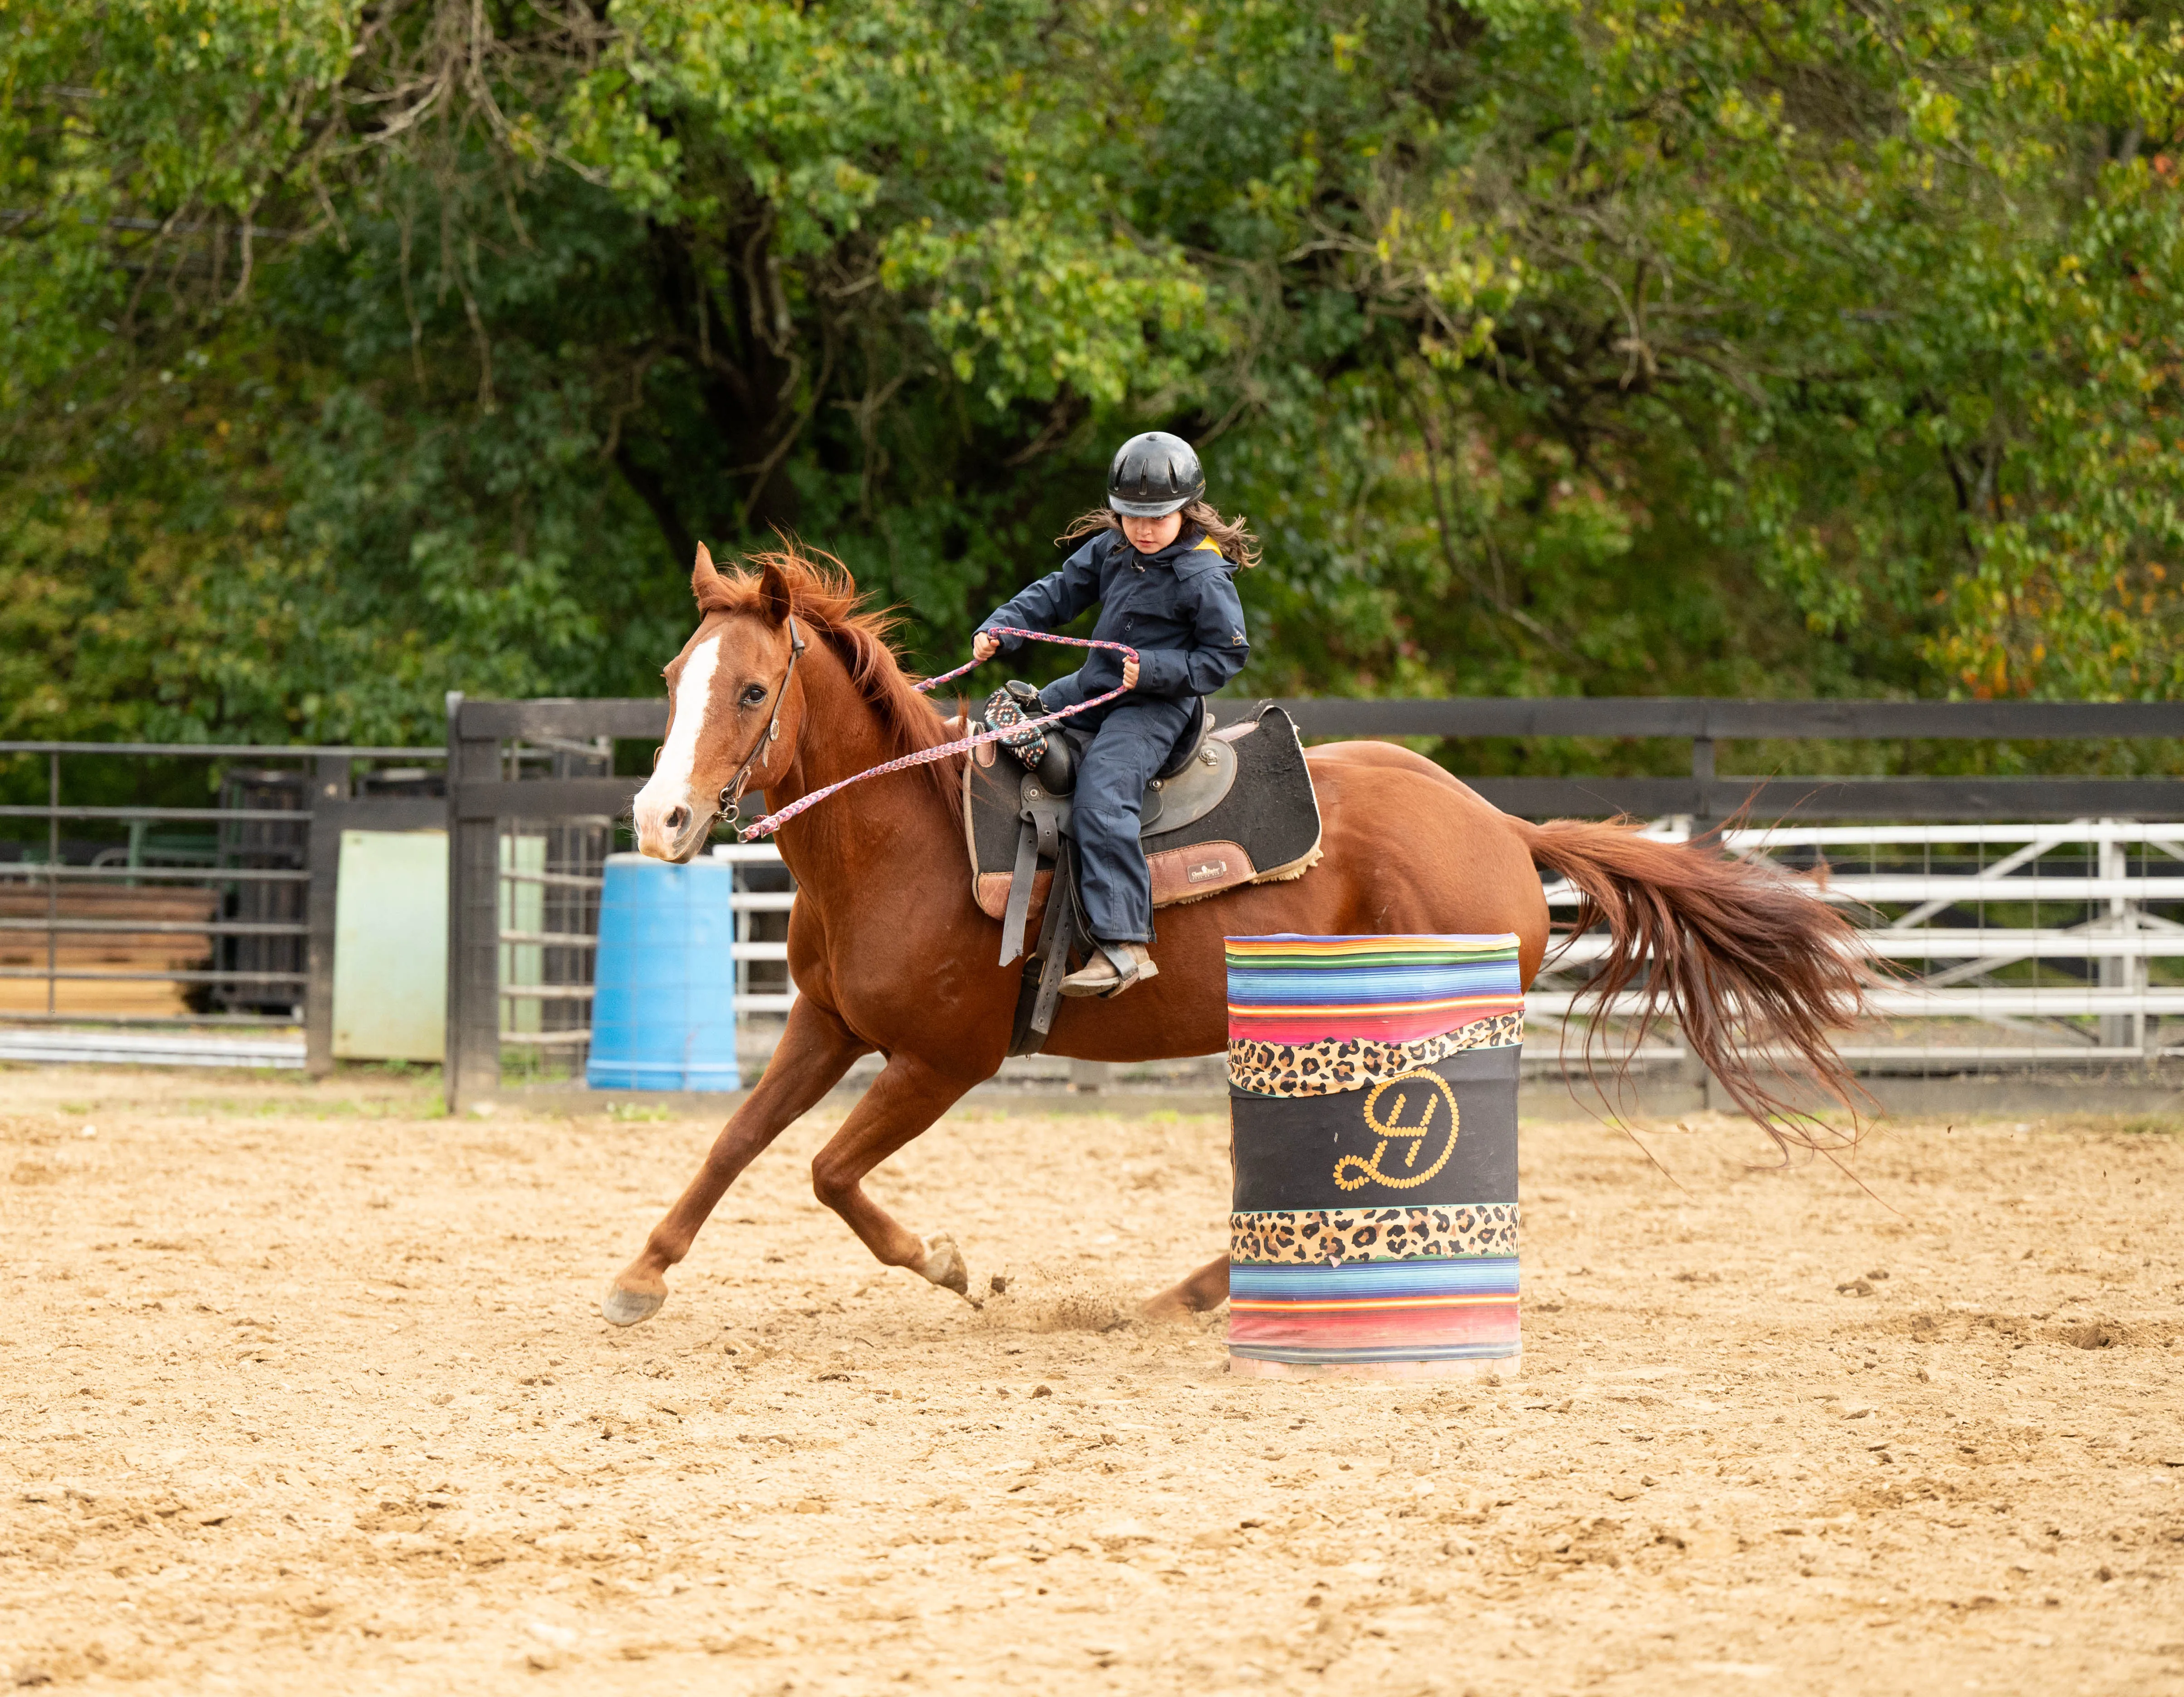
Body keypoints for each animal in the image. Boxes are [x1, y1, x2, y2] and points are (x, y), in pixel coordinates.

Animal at [607, 544, 1869, 1328]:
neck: (903, 838)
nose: (658, 819)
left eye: (753, 692)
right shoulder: (826, 1024)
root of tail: (1497, 824)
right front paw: (639, 1274)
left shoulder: (942, 1060)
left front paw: (954, 1267)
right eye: (673, 677)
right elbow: (736, 1144)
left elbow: (827, 1171)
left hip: (1409, 1033)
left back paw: (1203, 1294)